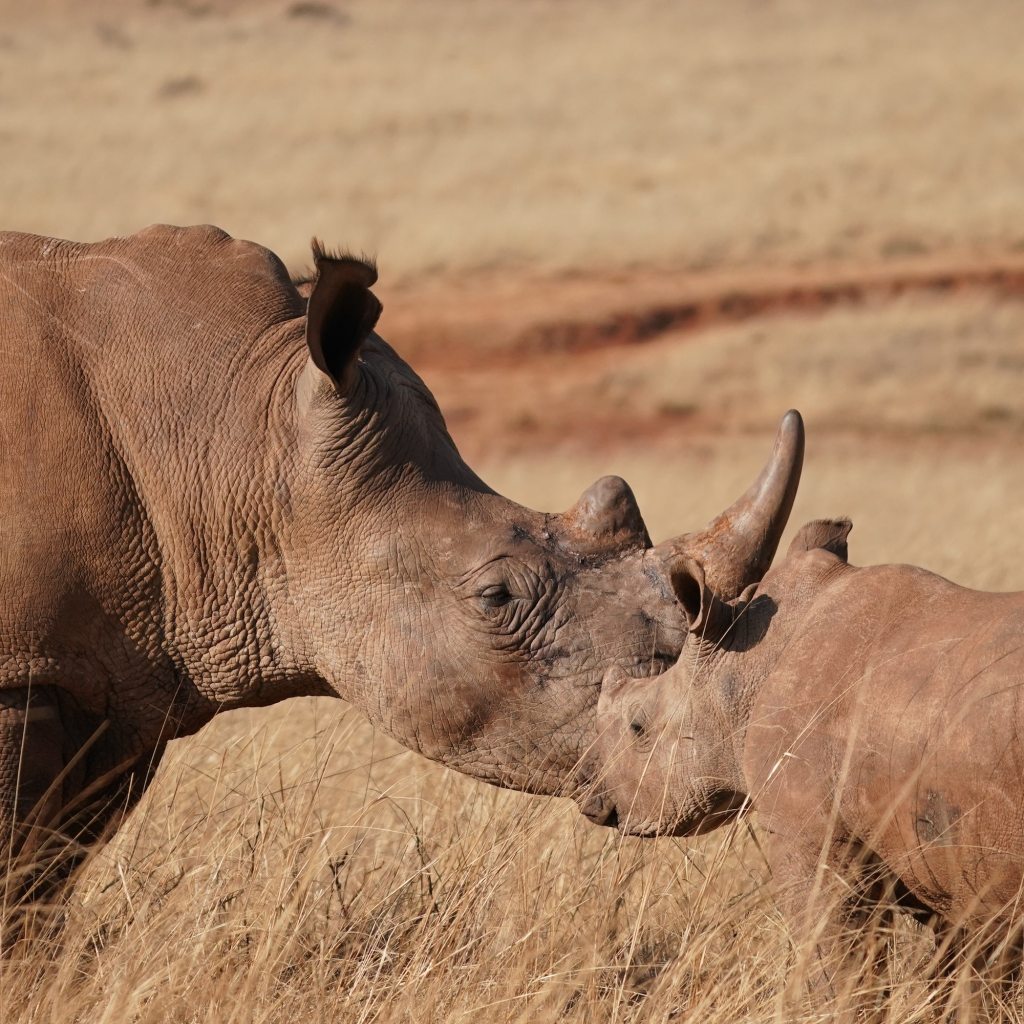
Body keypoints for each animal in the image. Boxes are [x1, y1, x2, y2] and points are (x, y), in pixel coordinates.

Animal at [594, 513, 1024, 1008]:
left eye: (638, 728)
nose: (597, 807)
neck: (742, 664)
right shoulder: (954, 866)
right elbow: (969, 982)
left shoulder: (811, 833)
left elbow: (837, 968)